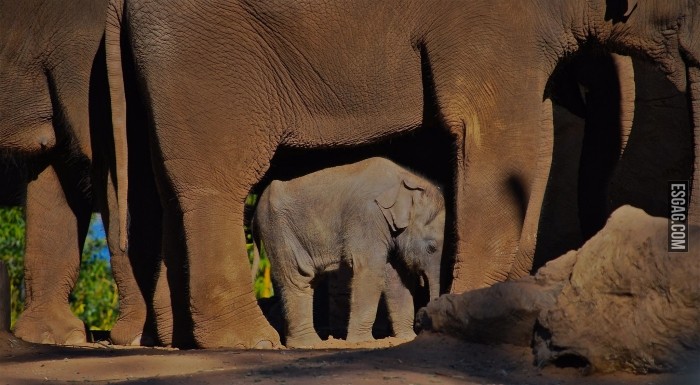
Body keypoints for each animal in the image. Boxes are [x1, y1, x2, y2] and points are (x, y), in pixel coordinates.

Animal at [254, 157, 446, 348]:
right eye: (431, 247)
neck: (406, 180)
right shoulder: (366, 217)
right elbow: (371, 271)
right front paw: (363, 341)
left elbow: (397, 279)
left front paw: (407, 338)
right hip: (277, 230)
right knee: (298, 278)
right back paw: (308, 344)